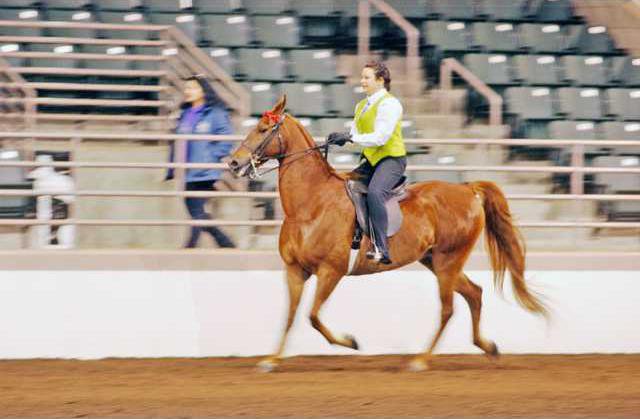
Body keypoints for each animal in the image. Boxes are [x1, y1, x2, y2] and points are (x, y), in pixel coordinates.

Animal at [226, 97, 544, 372]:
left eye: (263, 129)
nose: (233, 162)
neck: (311, 203)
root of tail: (468, 189)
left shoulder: (331, 271)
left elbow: (313, 316)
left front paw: (350, 342)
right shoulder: (295, 270)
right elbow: (291, 316)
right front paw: (272, 360)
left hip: (447, 261)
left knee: (448, 308)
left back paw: (421, 360)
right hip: (436, 261)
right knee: (474, 294)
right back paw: (488, 348)